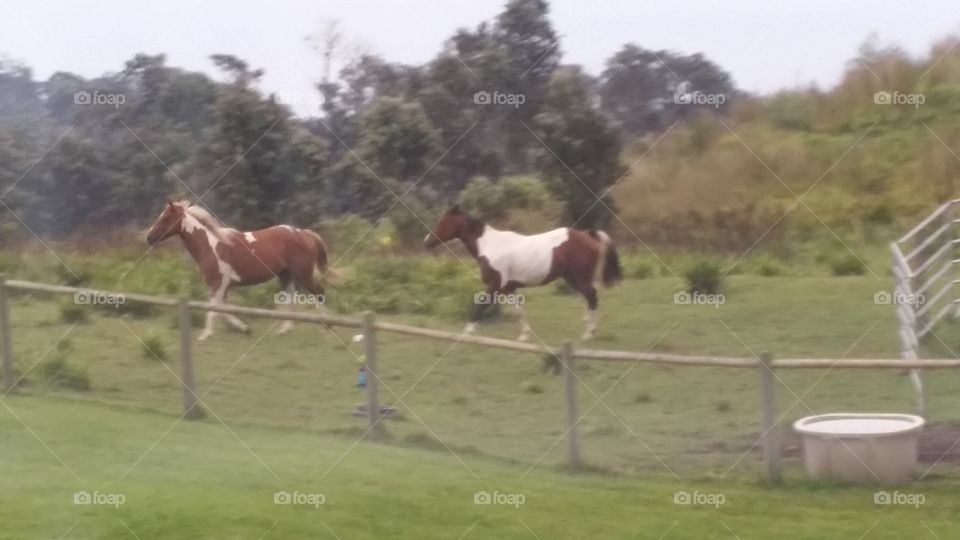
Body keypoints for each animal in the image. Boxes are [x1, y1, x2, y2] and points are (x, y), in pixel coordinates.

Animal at [146, 199, 331, 340]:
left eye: (165, 218)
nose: (149, 238)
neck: (209, 246)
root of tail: (304, 233)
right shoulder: (223, 286)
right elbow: (223, 310)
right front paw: (245, 328)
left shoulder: (219, 284)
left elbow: (214, 310)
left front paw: (205, 335)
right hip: (285, 274)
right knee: (291, 297)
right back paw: (286, 329)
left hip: (303, 273)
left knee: (318, 292)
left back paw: (325, 326)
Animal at [424, 205, 621, 341]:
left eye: (443, 222)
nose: (427, 241)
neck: (489, 245)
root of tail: (587, 234)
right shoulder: (510, 287)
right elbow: (518, 310)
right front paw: (524, 336)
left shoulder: (494, 285)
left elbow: (479, 306)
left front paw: (467, 332)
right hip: (572, 278)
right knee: (589, 298)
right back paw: (588, 329)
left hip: (580, 277)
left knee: (592, 297)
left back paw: (588, 333)